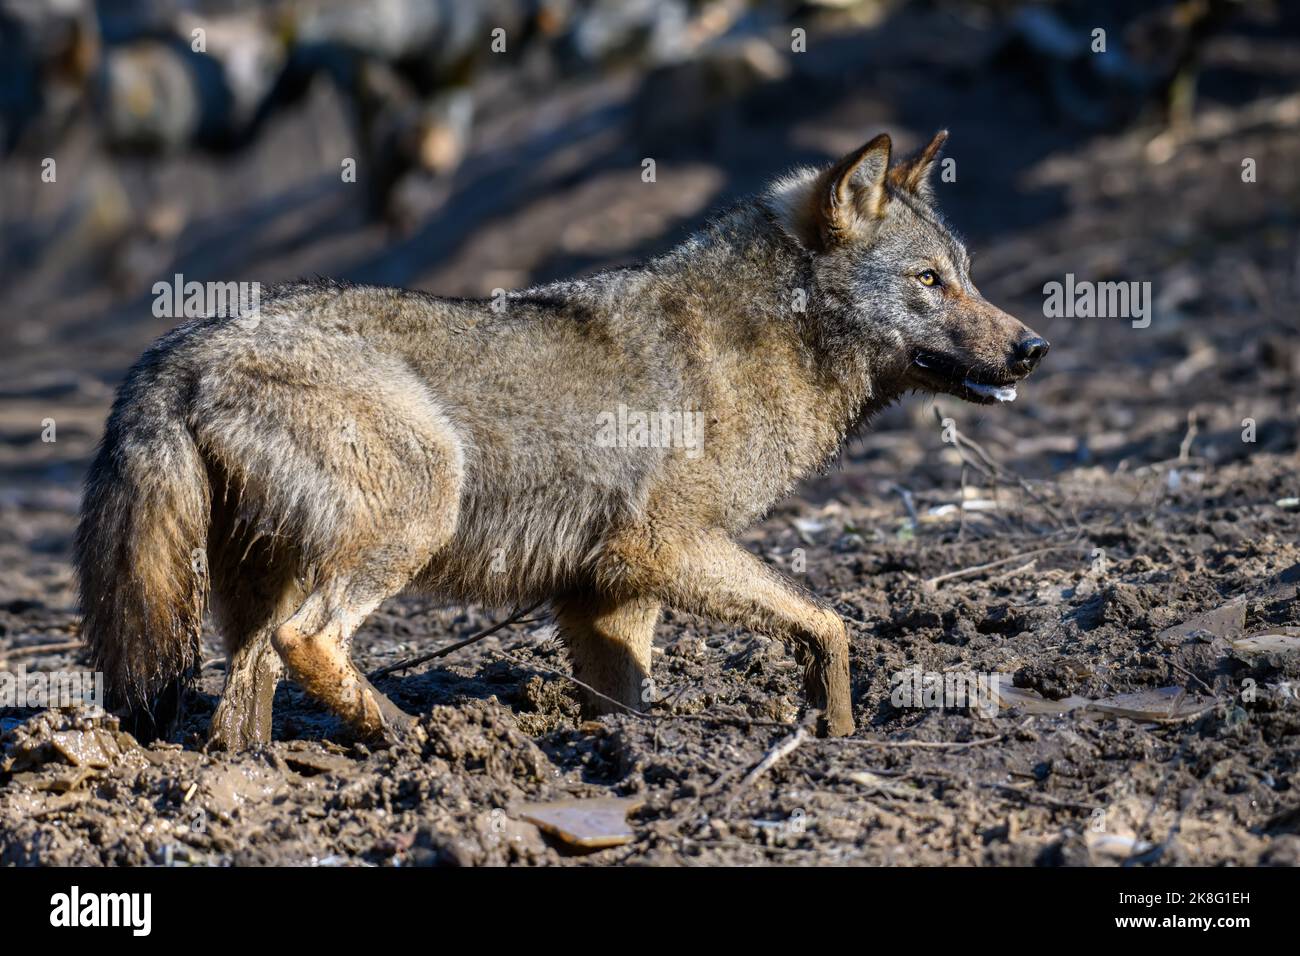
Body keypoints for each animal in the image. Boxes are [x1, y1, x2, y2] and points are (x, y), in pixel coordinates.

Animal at [73, 130, 1045, 749]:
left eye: (966, 276)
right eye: (929, 281)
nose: (1034, 348)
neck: (759, 341)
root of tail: (180, 346)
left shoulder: (605, 590)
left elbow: (628, 699)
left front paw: (630, 754)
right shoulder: (662, 547)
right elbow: (831, 622)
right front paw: (838, 732)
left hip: (259, 592)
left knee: (240, 700)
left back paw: (257, 780)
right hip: (417, 510)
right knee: (307, 641)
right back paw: (412, 739)